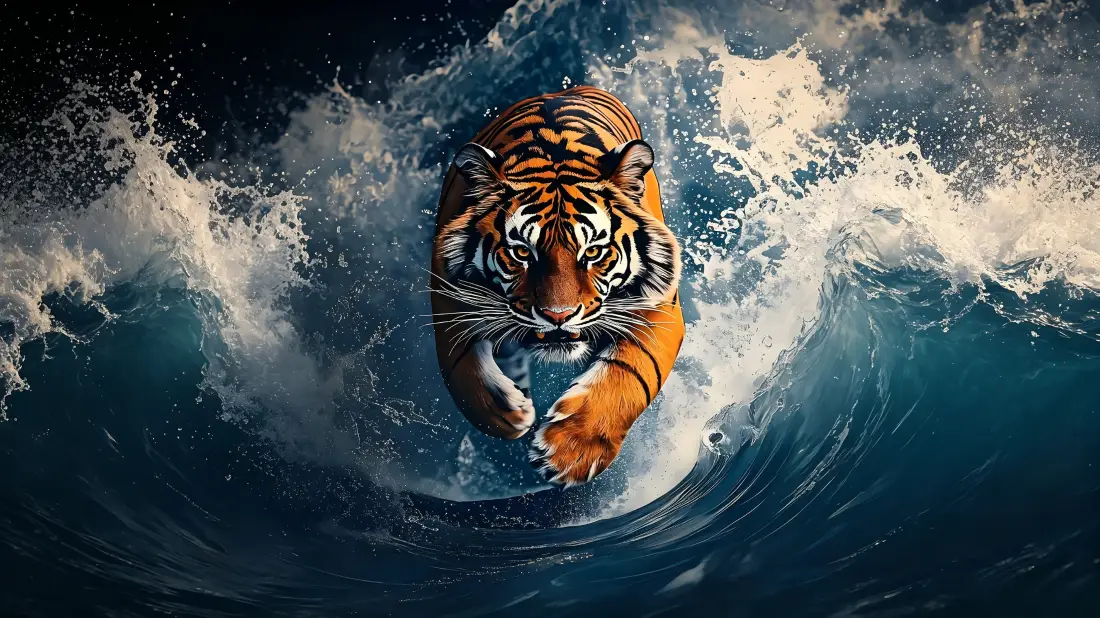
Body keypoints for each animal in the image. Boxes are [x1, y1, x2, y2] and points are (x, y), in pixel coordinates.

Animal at [430, 85, 684, 486]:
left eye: (593, 251)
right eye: (521, 252)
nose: (558, 316)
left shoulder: (658, 309)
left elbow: (629, 374)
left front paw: (570, 452)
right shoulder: (448, 303)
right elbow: (463, 374)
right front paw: (509, 414)